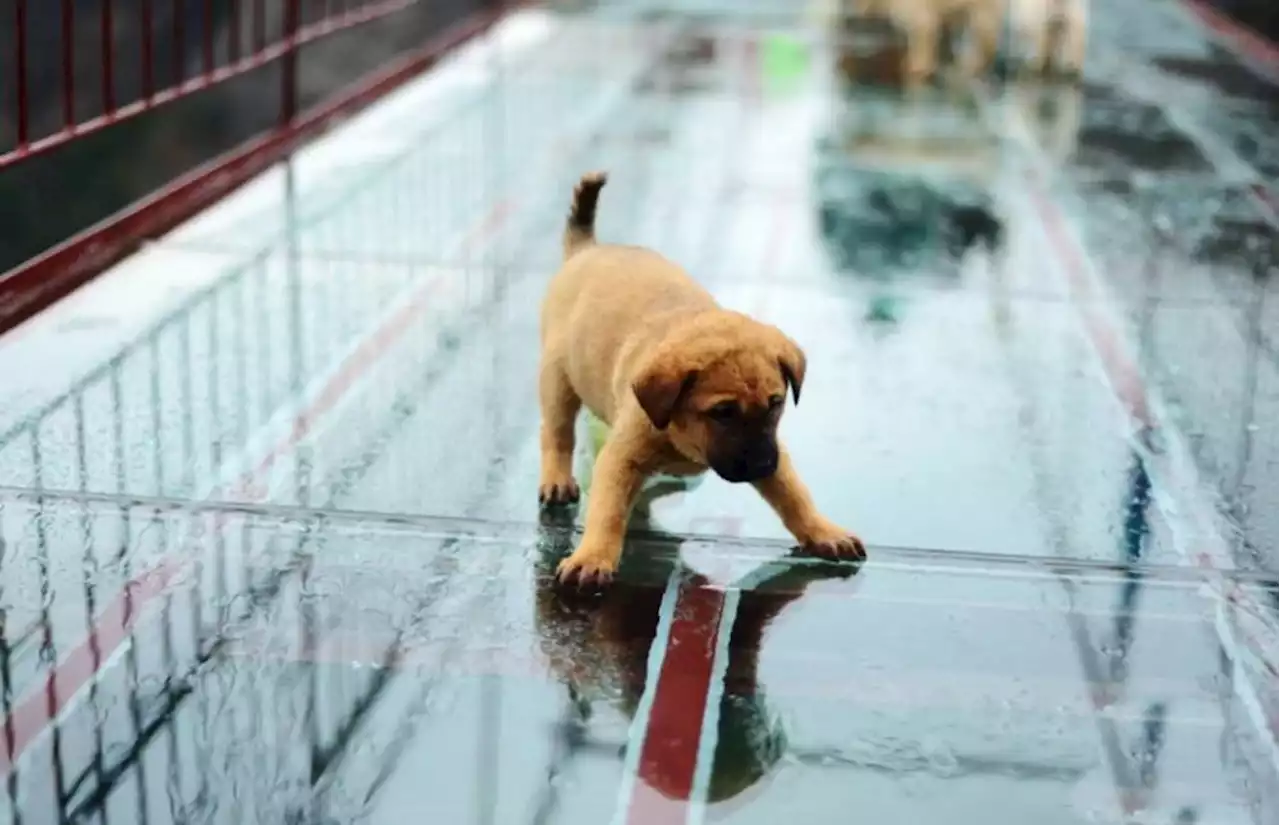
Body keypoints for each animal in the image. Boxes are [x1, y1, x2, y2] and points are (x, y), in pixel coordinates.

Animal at [535, 170, 865, 585]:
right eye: (722, 412)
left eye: (776, 405)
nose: (762, 467)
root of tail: (586, 250)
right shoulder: (622, 458)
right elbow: (607, 511)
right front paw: (593, 557)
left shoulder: (773, 450)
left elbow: (794, 496)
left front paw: (823, 531)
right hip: (558, 381)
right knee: (558, 434)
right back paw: (557, 478)